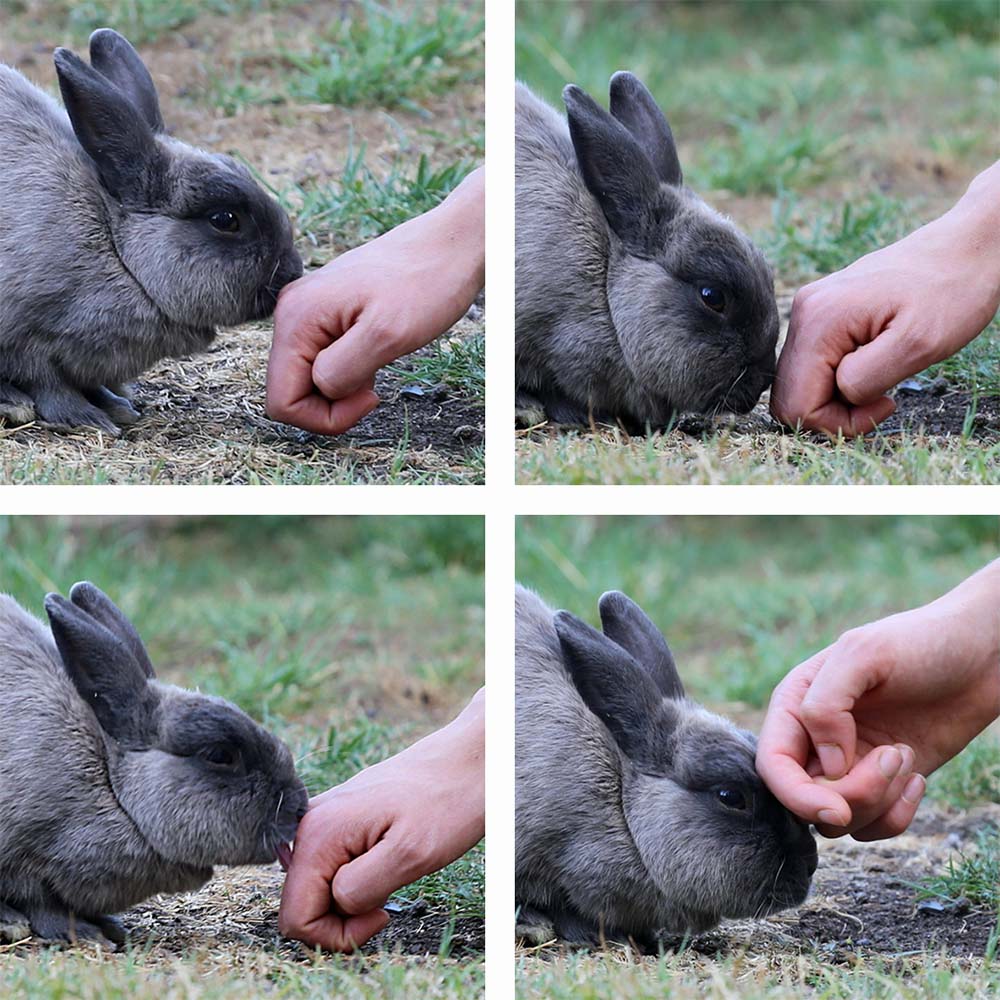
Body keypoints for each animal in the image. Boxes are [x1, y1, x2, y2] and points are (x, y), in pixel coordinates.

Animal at [0, 28, 302, 430]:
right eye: (225, 219)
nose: (293, 271)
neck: (114, 244)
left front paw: (116, 406)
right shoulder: (28, 339)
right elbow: (49, 385)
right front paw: (88, 418)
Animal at [0, 580, 308, 944]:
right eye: (220, 755)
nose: (299, 808)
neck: (109, 778)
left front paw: (108, 926)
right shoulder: (25, 856)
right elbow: (41, 904)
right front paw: (87, 934)